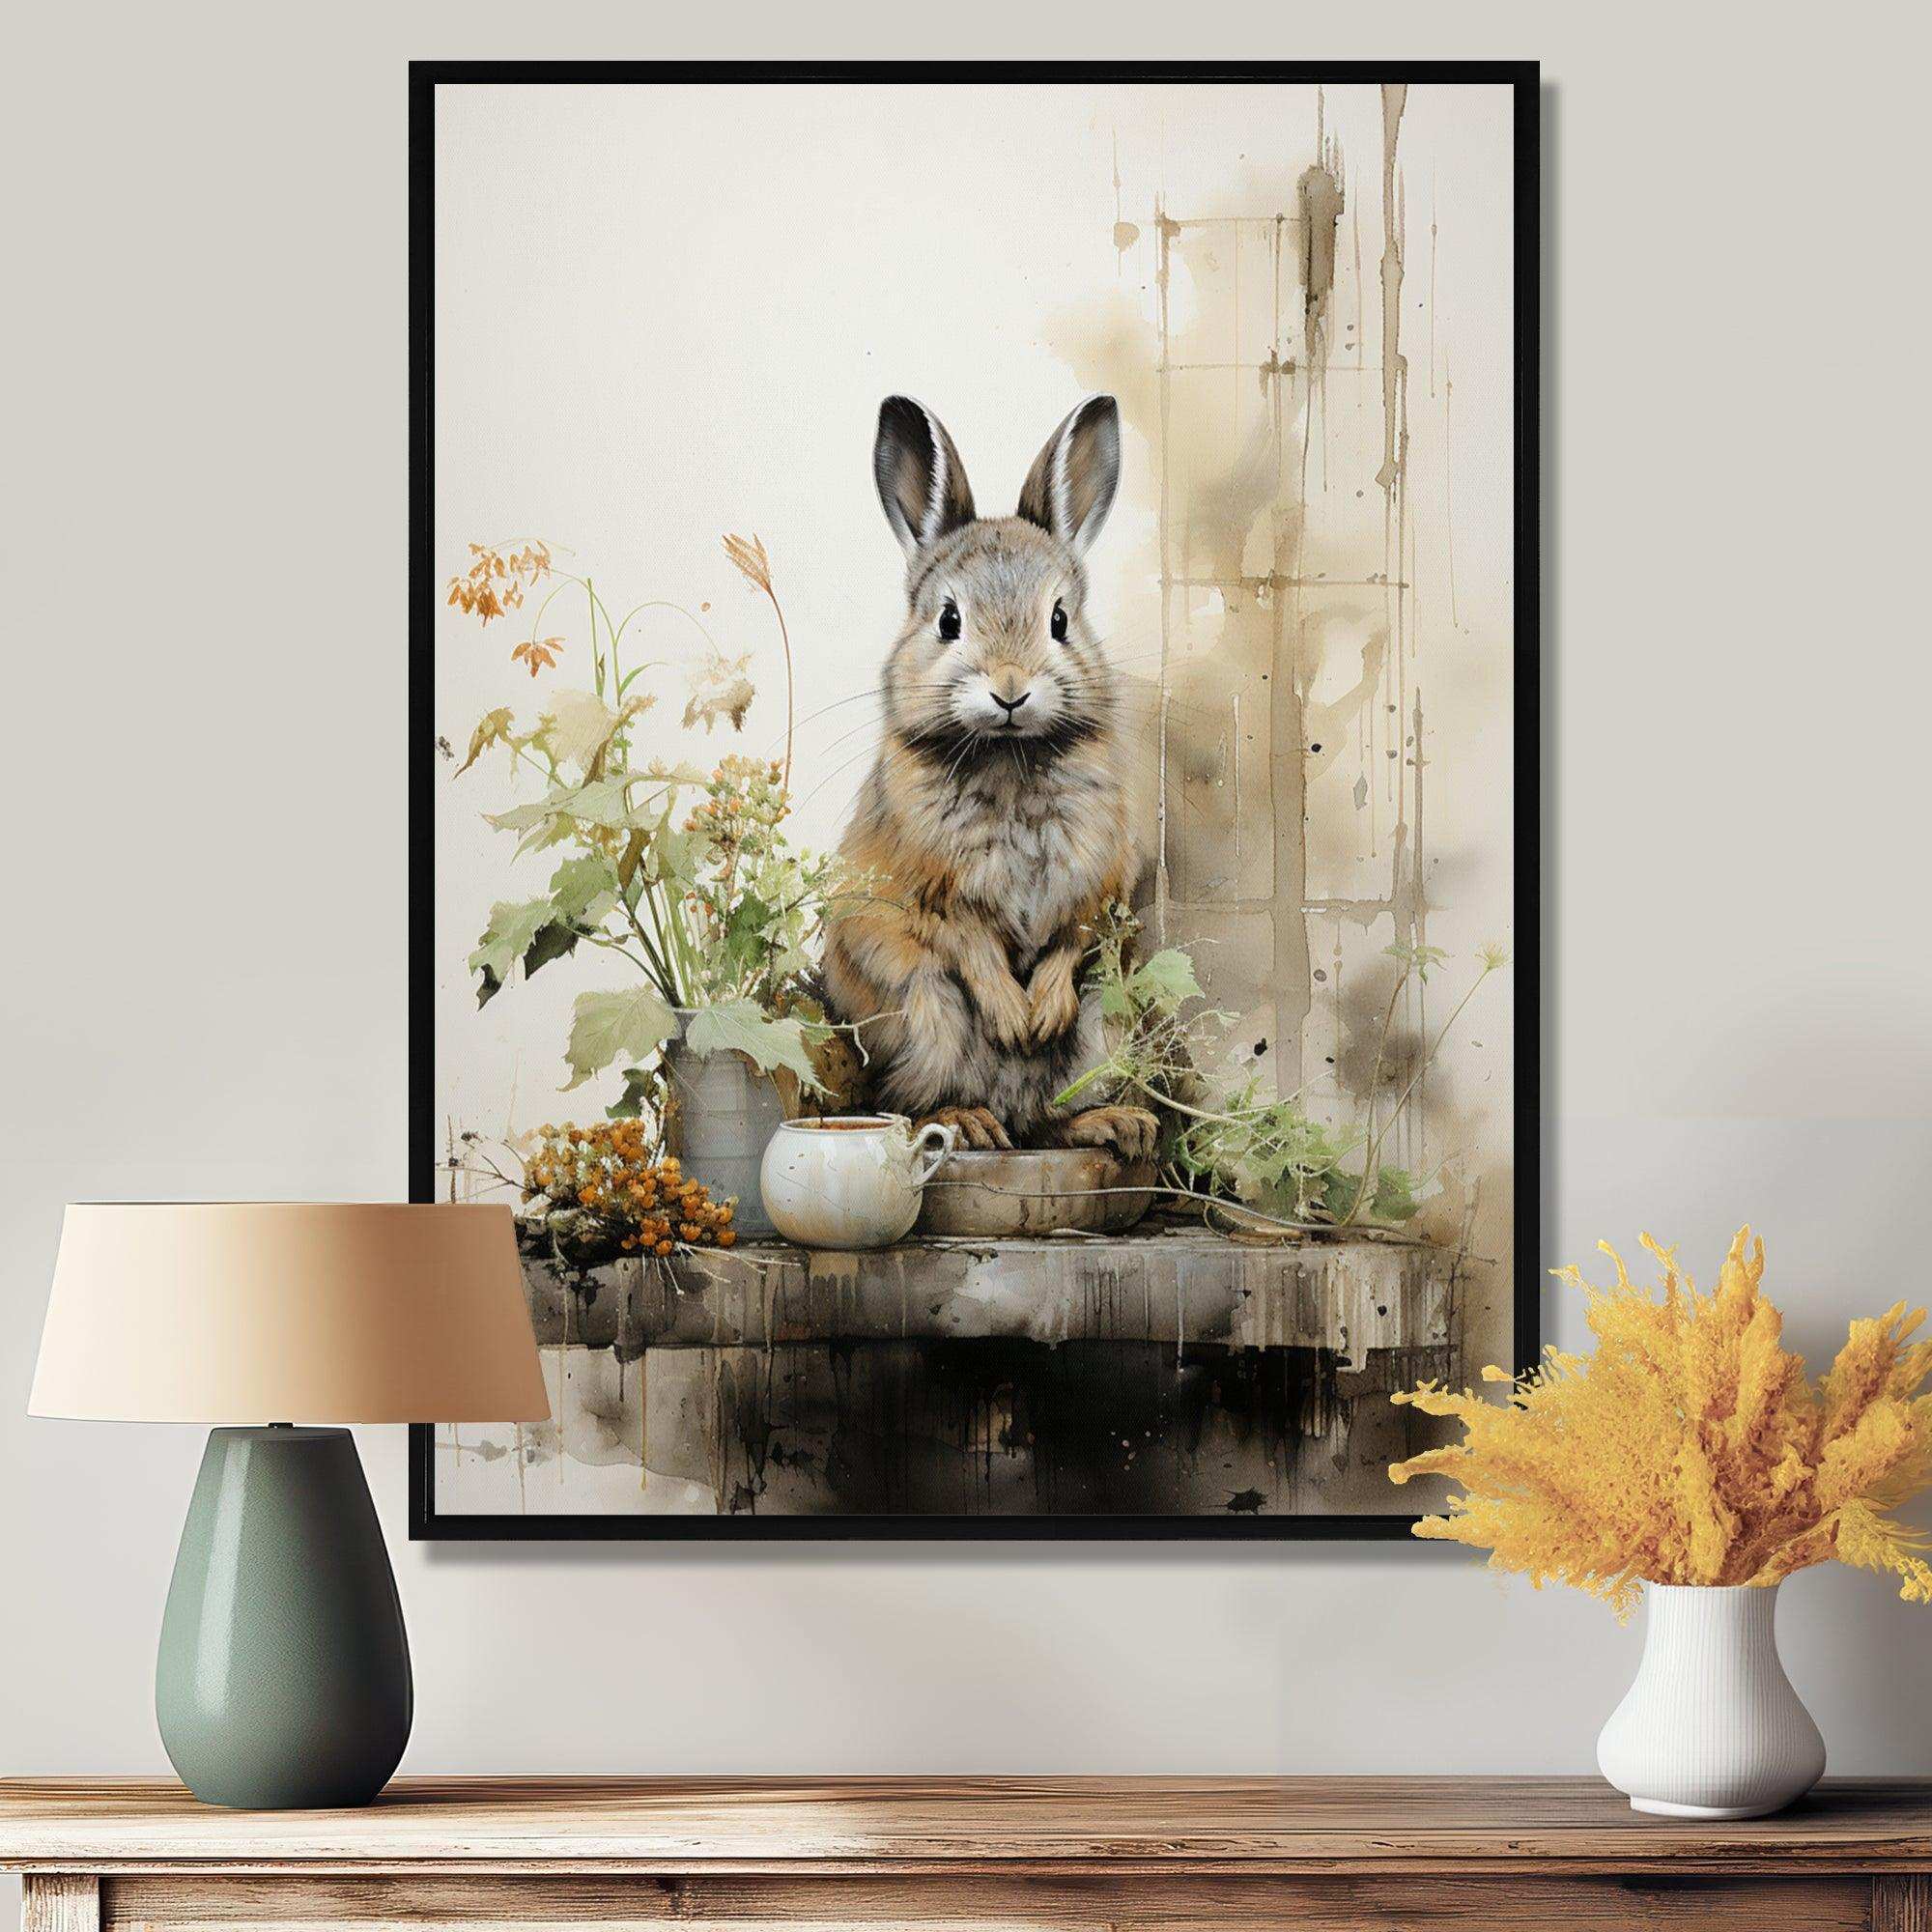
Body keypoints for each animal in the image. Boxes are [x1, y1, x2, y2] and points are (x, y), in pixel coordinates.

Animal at [822, 393, 1158, 1160]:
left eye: (1060, 620)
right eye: (949, 620)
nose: (1010, 690)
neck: (1008, 756)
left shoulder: (1099, 882)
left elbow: (1070, 938)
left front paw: (1041, 1014)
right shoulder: (931, 893)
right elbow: (970, 944)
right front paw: (1013, 1016)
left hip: (1105, 1025)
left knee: (1048, 1118)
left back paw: (1117, 1124)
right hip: (924, 1014)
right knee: (910, 1102)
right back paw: (971, 1123)